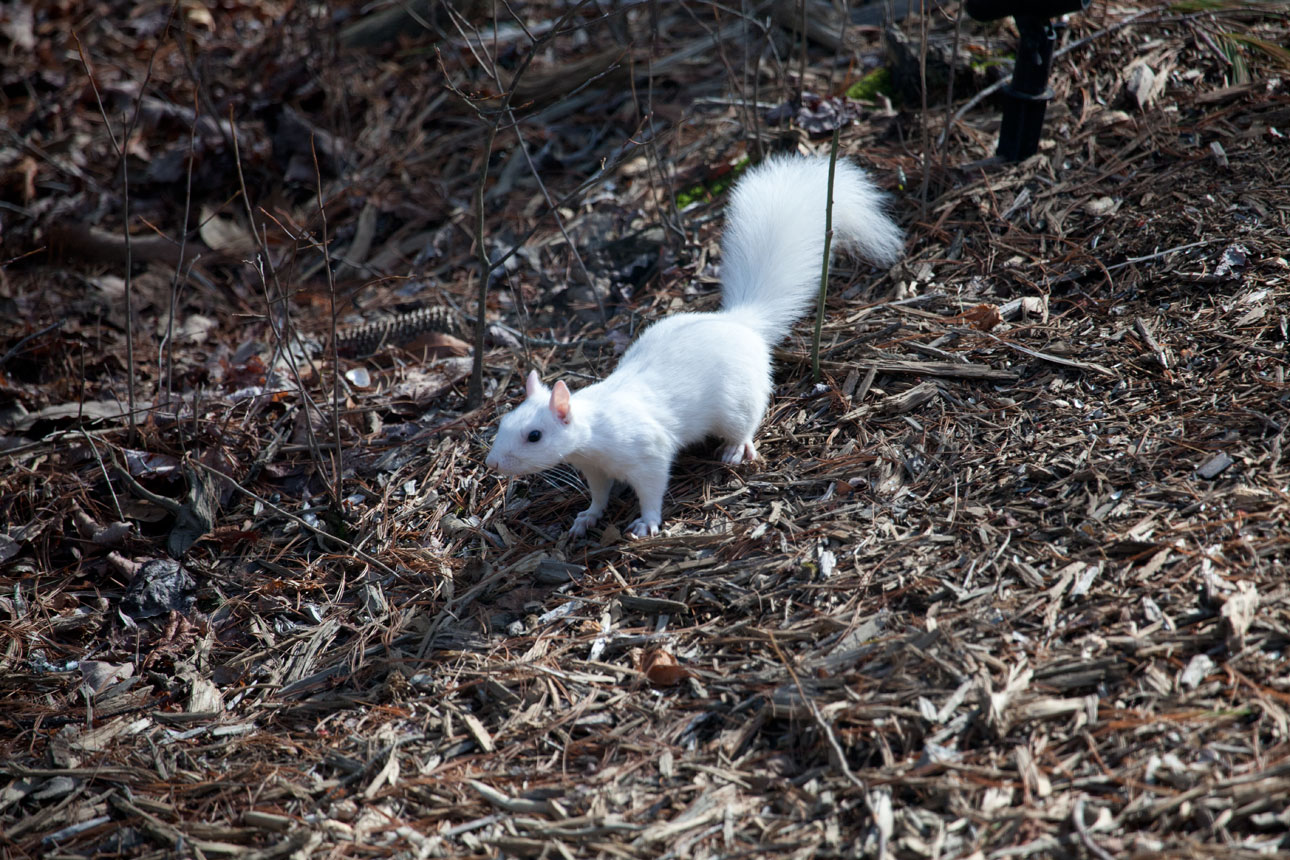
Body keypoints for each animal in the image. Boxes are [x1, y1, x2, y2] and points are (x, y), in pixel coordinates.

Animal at [485, 154, 903, 538]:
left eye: (534, 436)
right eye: (503, 422)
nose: (492, 464)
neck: (595, 431)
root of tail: (741, 323)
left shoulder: (647, 452)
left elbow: (652, 489)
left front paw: (646, 523)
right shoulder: (595, 468)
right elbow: (600, 494)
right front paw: (588, 516)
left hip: (738, 400)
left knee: (747, 422)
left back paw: (736, 449)